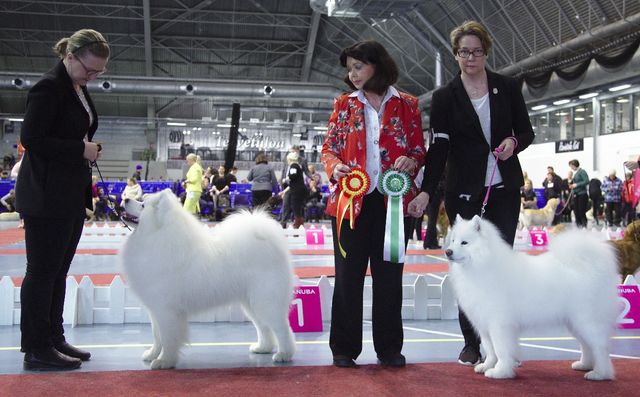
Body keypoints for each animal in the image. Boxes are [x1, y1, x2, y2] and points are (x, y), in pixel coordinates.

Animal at [119, 189, 296, 368]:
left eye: (143, 205)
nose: (125, 199)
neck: (156, 236)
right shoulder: (155, 309)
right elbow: (157, 336)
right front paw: (152, 354)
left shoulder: (166, 310)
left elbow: (168, 338)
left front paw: (164, 361)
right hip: (251, 304)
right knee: (263, 327)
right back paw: (262, 348)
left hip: (266, 301)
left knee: (282, 328)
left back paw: (284, 354)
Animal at [444, 215, 620, 378]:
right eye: (452, 241)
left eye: (464, 242)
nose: (448, 251)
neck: (481, 265)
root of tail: (589, 264)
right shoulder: (483, 324)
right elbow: (490, 349)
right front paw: (487, 366)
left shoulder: (499, 324)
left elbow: (500, 350)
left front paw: (500, 371)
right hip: (574, 322)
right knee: (587, 345)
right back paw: (584, 365)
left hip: (586, 320)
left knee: (600, 347)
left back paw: (600, 373)